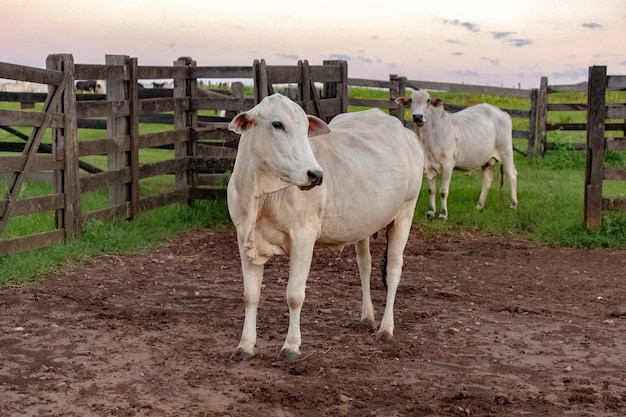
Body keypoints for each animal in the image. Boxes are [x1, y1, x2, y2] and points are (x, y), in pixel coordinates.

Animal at [227, 93, 422, 360]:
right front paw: (245, 346)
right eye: (277, 124)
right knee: (365, 265)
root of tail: (406, 133)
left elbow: (294, 295)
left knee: (393, 270)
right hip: (363, 225)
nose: (315, 174)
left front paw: (291, 347)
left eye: (305, 129)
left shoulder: (303, 238)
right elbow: (250, 295)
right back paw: (367, 316)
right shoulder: (243, 237)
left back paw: (386, 328)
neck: (262, 196)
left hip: (405, 213)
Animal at [394, 87, 516, 218]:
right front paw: (431, 211)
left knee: (512, 174)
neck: (428, 137)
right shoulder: (428, 166)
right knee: (487, 180)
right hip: (486, 161)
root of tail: (501, 112)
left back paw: (513, 205)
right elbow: (431, 190)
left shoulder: (448, 165)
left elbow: (443, 191)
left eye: (428, 100)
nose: (417, 116)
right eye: (411, 100)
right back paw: (479, 206)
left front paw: (443, 214)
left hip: (506, 151)